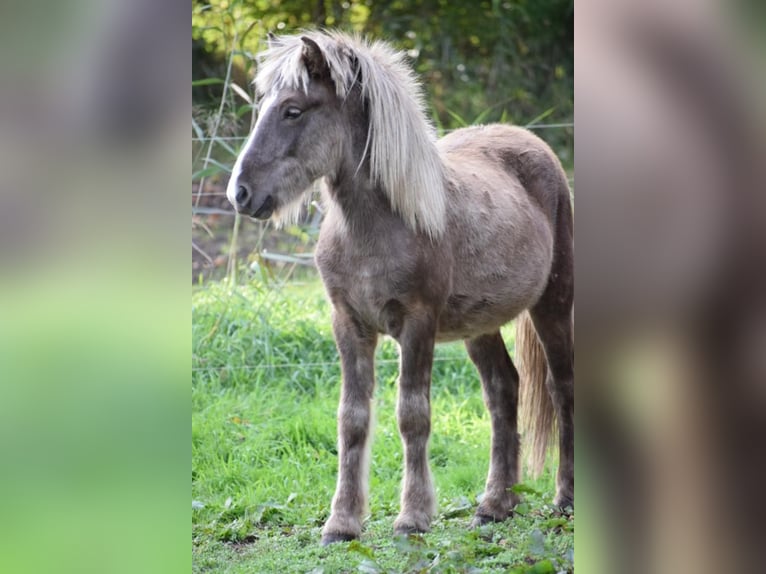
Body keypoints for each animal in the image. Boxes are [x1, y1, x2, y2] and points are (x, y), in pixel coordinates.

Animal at [228, 30, 576, 544]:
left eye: (293, 109)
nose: (240, 193)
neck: (375, 228)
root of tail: (535, 144)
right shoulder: (349, 325)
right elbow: (352, 420)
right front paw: (342, 523)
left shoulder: (417, 324)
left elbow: (412, 415)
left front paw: (412, 517)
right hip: (480, 326)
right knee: (502, 390)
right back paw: (495, 505)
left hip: (553, 304)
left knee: (561, 387)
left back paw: (564, 501)